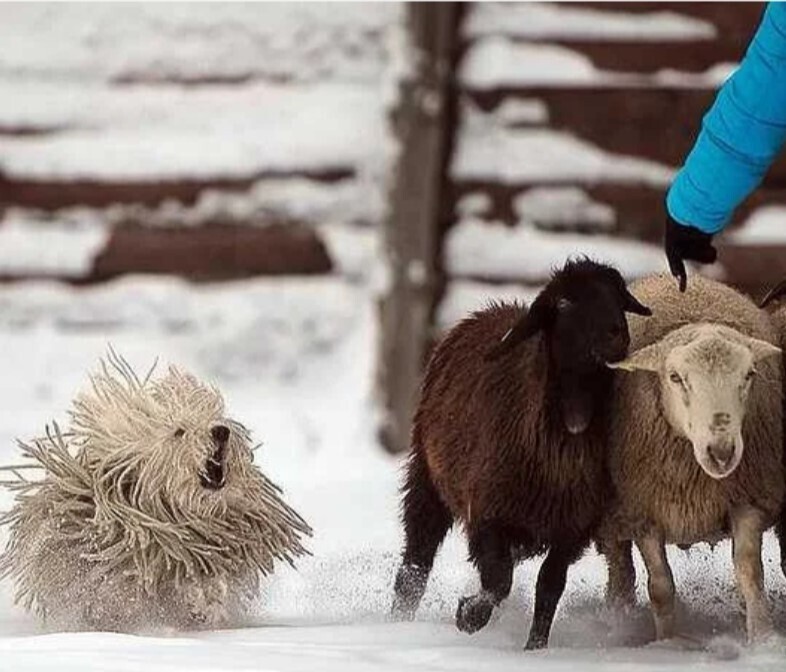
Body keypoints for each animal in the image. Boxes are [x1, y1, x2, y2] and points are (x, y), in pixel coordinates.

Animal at [600, 272, 776, 644]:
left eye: (749, 375)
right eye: (675, 377)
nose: (722, 452)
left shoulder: (748, 498)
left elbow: (750, 572)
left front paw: (763, 637)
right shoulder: (644, 511)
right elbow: (660, 586)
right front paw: (668, 642)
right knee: (620, 569)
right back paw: (617, 618)